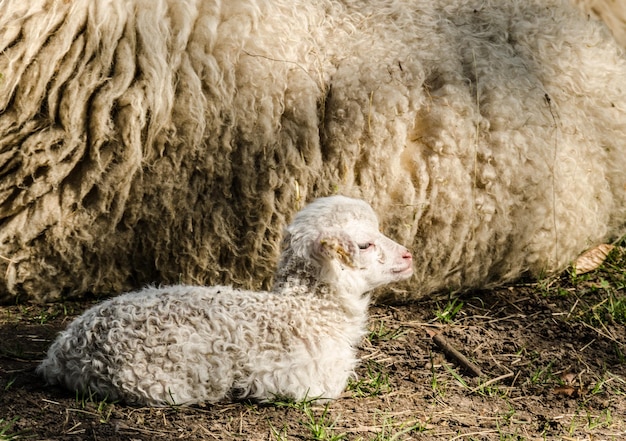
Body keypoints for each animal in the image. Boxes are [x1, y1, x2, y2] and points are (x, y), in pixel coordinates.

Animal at [36, 196, 412, 406]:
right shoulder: (305, 382)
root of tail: (61, 354)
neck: (309, 310)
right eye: (364, 245)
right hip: (153, 382)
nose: (408, 256)